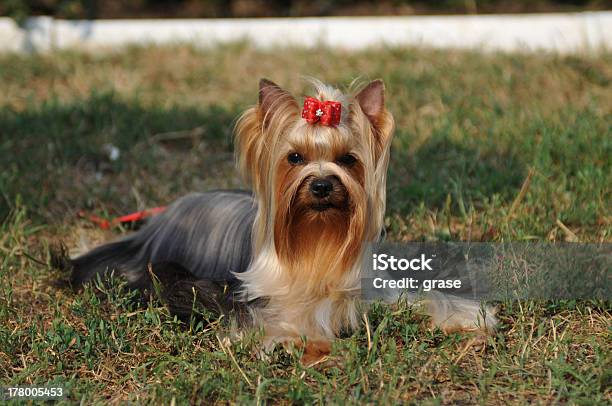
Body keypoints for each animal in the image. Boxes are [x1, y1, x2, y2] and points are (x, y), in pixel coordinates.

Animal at [68, 78, 498, 362]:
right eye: (294, 157)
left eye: (348, 159)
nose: (322, 185)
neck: (318, 237)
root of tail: (157, 221)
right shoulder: (257, 303)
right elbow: (281, 323)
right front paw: (314, 345)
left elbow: (426, 297)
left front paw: (471, 320)